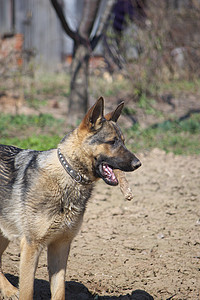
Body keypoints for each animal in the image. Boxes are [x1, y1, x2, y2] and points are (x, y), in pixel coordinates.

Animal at [0, 97, 141, 298]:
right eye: (112, 142)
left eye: (123, 142)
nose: (138, 164)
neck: (68, 175)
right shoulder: (31, 246)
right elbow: (28, 291)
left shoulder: (60, 246)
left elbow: (59, 291)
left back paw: (9, 290)